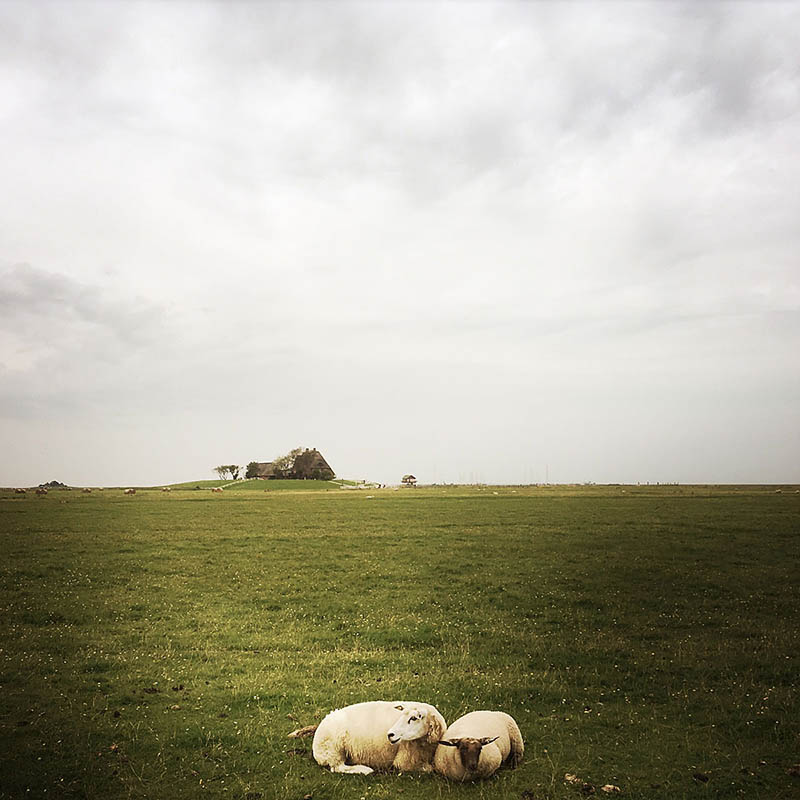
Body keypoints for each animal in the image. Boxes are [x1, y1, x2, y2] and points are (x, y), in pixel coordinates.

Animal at [288, 700, 446, 776]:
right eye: (402, 715)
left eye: (414, 718)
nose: (390, 734)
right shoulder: (404, 761)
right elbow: (429, 769)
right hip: (334, 748)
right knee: (337, 768)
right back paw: (364, 770)